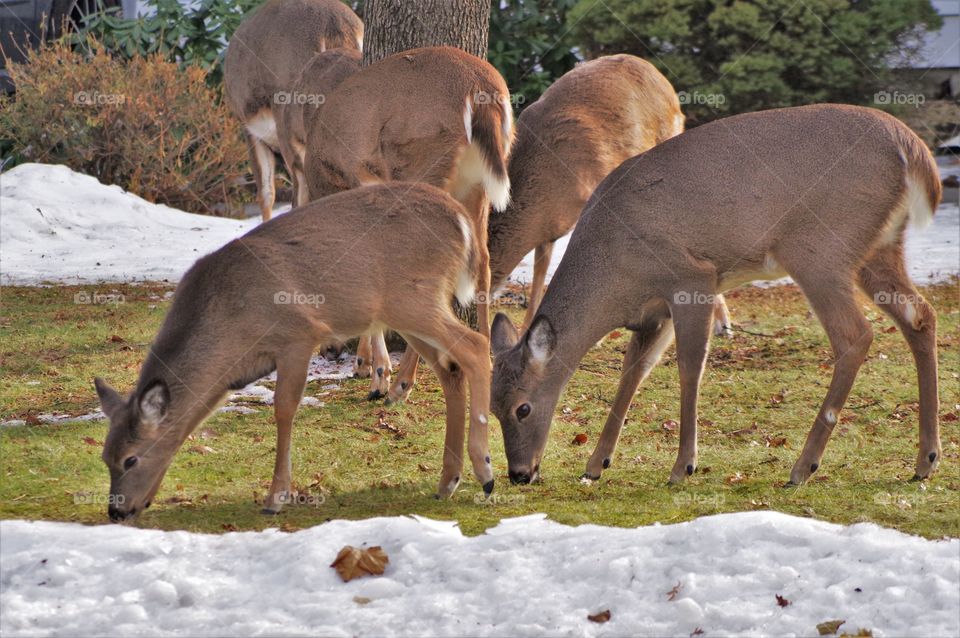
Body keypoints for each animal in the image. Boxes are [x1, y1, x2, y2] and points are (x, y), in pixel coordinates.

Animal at [94, 183, 494, 522]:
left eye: (130, 460)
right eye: (105, 457)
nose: (116, 512)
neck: (225, 317)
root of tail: (462, 220)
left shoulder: (297, 335)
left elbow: (284, 409)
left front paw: (276, 497)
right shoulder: (229, 377)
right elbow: (193, 419)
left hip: (412, 298)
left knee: (477, 347)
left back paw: (485, 471)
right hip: (407, 309)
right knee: (450, 368)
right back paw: (448, 481)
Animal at [303, 46, 514, 401]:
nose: (328, 350)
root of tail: (481, 91)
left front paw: (379, 374)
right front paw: (364, 364)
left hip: (421, 163)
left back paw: (402, 383)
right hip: (476, 182)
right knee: (482, 260)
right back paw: (487, 365)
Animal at [489, 104, 942, 489]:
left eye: (522, 408)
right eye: (492, 407)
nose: (519, 474)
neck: (615, 272)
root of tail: (915, 152)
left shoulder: (692, 278)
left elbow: (690, 368)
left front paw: (682, 466)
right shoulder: (653, 312)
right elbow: (633, 373)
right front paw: (596, 463)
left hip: (819, 249)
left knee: (856, 334)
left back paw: (803, 467)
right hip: (879, 249)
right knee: (921, 316)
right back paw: (925, 461)